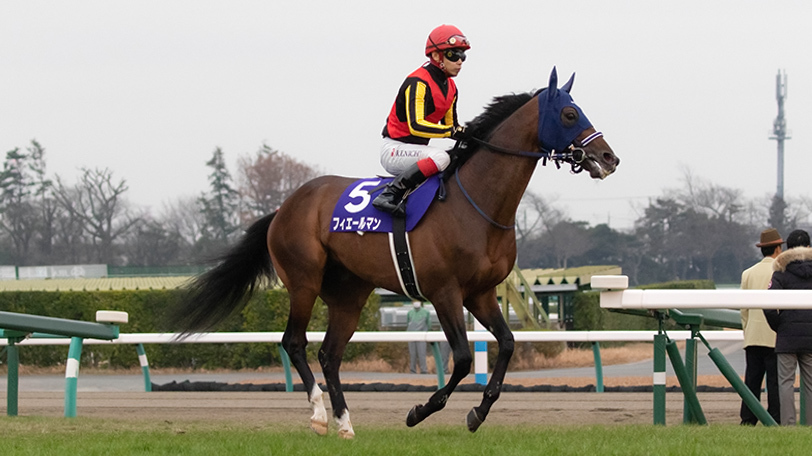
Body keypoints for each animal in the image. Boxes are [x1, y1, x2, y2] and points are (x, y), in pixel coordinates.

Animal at [170, 67, 620, 439]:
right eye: (569, 114)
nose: (609, 158)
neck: (477, 203)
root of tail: (284, 207)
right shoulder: (444, 292)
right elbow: (460, 359)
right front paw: (420, 411)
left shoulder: (481, 292)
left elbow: (507, 344)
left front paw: (478, 412)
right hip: (303, 281)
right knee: (294, 342)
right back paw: (318, 415)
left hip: (349, 295)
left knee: (329, 355)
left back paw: (345, 423)